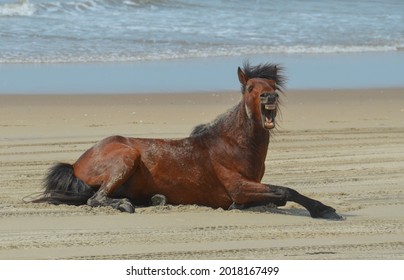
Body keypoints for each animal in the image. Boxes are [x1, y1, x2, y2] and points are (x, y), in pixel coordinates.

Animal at [30, 62, 342, 220]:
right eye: (250, 88)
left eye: (274, 85)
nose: (269, 97)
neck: (233, 143)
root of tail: (75, 163)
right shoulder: (239, 187)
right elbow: (284, 191)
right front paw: (322, 209)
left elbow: (279, 196)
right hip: (125, 159)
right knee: (96, 199)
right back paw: (126, 206)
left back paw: (155, 199)